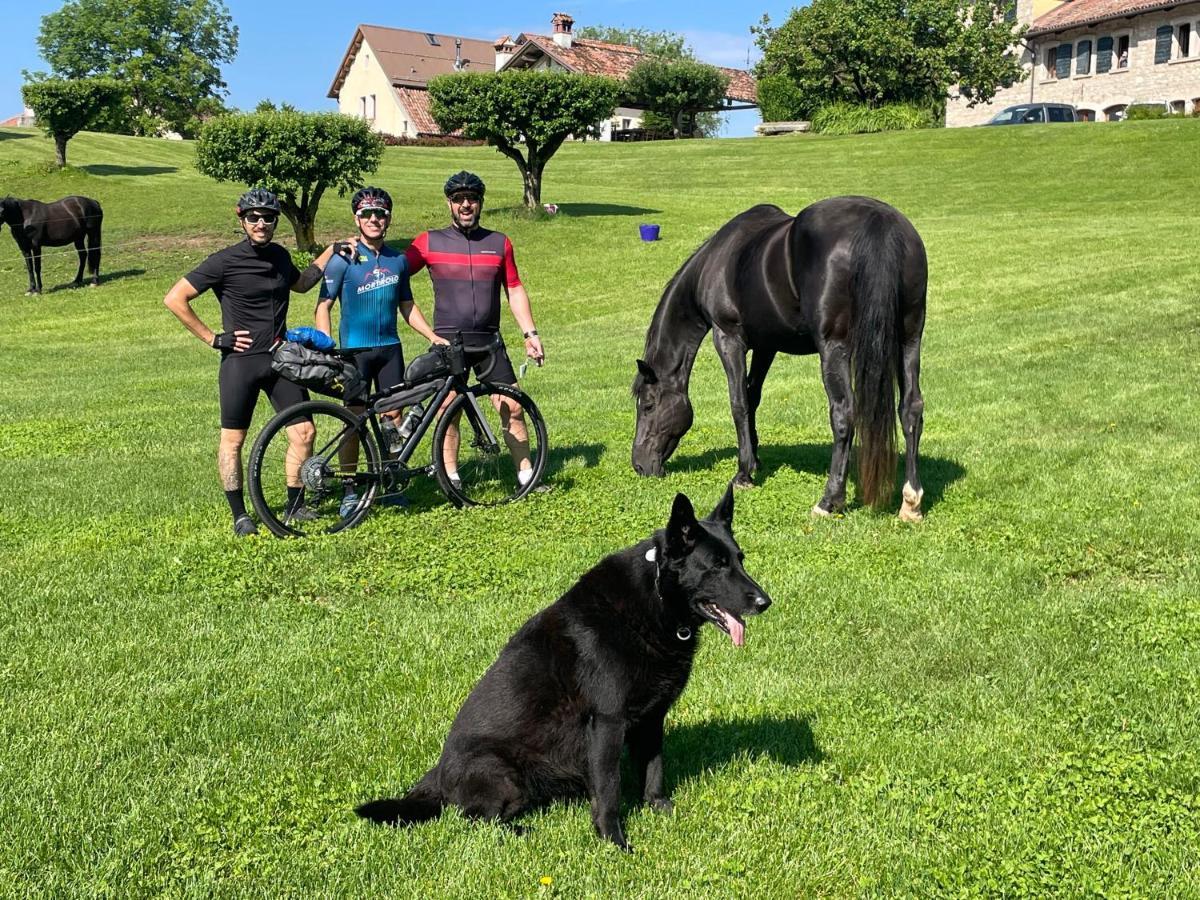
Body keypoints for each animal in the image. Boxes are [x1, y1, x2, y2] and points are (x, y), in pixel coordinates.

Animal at [355, 489, 768, 849]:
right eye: (716, 566)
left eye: (741, 559)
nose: (766, 601)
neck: (654, 601)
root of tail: (437, 775)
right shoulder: (607, 724)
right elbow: (609, 789)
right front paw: (614, 841)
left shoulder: (652, 718)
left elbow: (653, 769)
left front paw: (658, 808)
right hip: (502, 774)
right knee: (474, 820)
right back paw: (523, 832)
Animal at [633, 196, 931, 520]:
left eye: (647, 405)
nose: (639, 465)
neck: (715, 263)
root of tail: (878, 222)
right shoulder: (766, 346)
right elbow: (752, 397)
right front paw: (755, 459)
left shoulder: (728, 339)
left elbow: (738, 403)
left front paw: (743, 475)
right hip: (909, 340)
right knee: (911, 409)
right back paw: (911, 502)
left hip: (834, 349)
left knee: (844, 414)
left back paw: (829, 501)